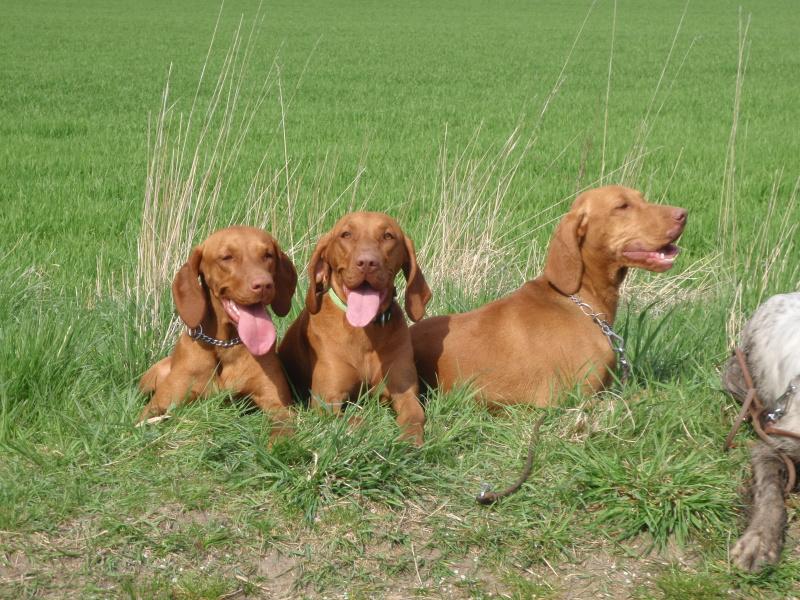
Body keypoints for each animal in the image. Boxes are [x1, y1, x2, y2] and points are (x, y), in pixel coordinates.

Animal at [139, 224, 298, 432]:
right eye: (227, 257)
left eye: (268, 255)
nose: (264, 284)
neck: (225, 345)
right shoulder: (158, 405)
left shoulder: (277, 403)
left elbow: (282, 427)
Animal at [280, 212, 434, 446]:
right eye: (346, 234)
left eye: (388, 236)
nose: (367, 263)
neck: (364, 332)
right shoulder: (326, 402)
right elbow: (357, 421)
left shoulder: (405, 392)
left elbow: (415, 415)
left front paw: (409, 439)